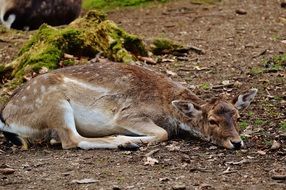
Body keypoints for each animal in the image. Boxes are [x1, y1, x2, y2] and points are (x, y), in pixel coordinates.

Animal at [0, 60, 258, 150]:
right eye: (212, 120)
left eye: (237, 116)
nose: (237, 142)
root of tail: (6, 119)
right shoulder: (129, 115)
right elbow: (163, 133)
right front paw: (127, 138)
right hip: (55, 104)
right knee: (71, 140)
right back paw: (124, 143)